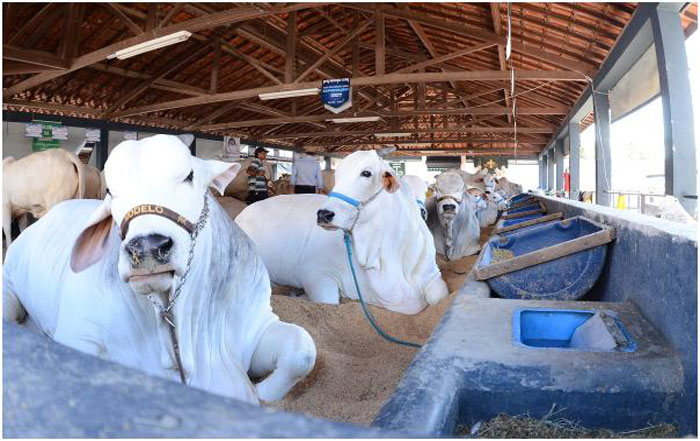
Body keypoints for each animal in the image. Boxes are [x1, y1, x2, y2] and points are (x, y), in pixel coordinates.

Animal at [2, 135, 314, 406]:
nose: (147, 247)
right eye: (110, 191)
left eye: (189, 176)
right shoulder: (81, 333)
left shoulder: (257, 321)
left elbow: (303, 351)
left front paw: (262, 392)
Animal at [238, 150, 448, 314]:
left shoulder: (433, 276)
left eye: (366, 173)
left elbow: (440, 296)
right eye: (337, 176)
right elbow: (327, 299)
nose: (324, 214)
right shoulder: (316, 273)